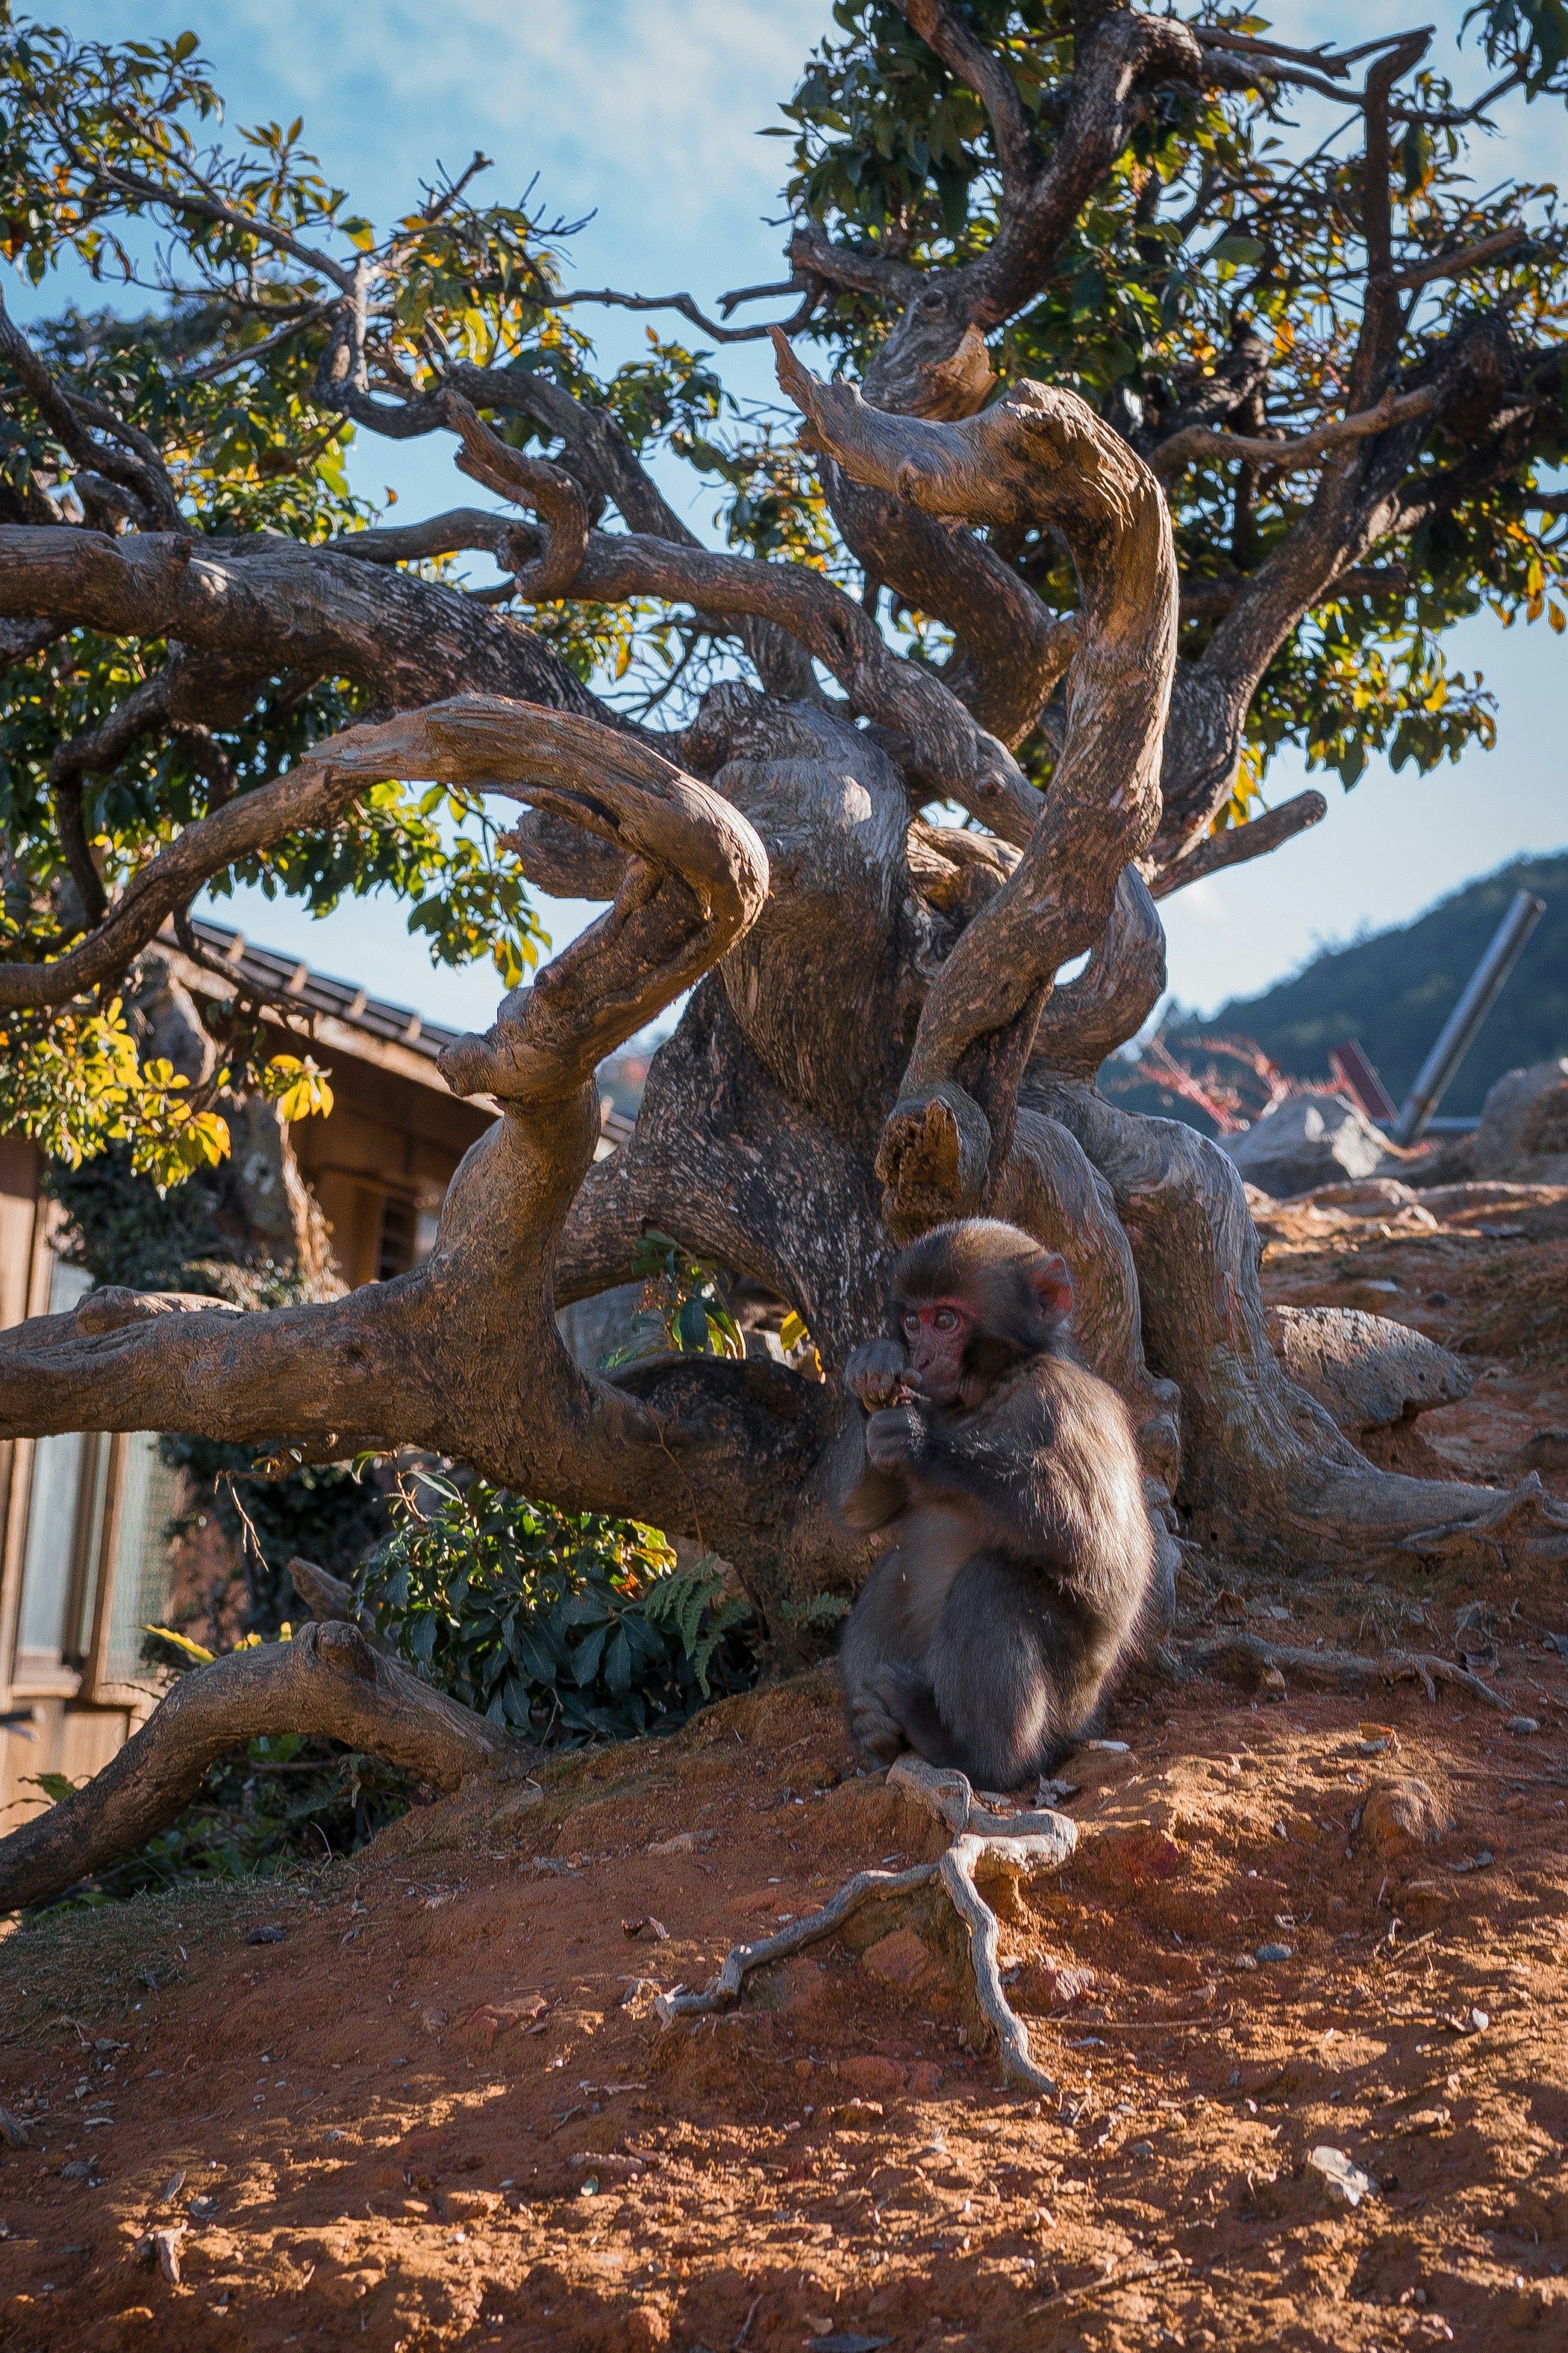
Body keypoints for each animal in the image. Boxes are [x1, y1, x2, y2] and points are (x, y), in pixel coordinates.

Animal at [834, 1218, 1156, 1792]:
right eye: (912, 1322)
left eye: (945, 1320)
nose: (919, 1358)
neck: (987, 1392)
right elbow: (864, 1510)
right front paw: (873, 1373)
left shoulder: (1064, 1401)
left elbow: (1092, 1544)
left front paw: (922, 1447)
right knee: (894, 1568)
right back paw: (875, 1730)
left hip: (1068, 1706)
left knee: (992, 1583)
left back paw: (967, 1754)